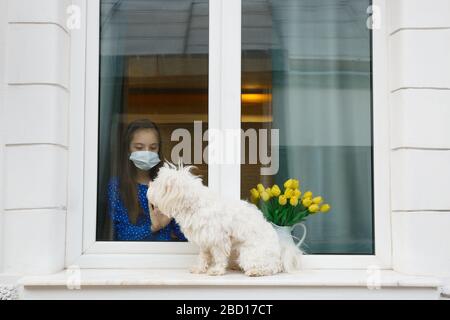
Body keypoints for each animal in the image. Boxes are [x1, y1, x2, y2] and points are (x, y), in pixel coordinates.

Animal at [149, 164, 302, 276]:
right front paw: (199, 268)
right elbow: (203, 256)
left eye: (156, 184)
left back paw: (256, 271)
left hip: (249, 254)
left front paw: (216, 270)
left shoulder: (219, 240)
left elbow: (219, 257)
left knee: (273, 268)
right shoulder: (205, 240)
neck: (194, 205)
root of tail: (280, 252)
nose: (149, 185)